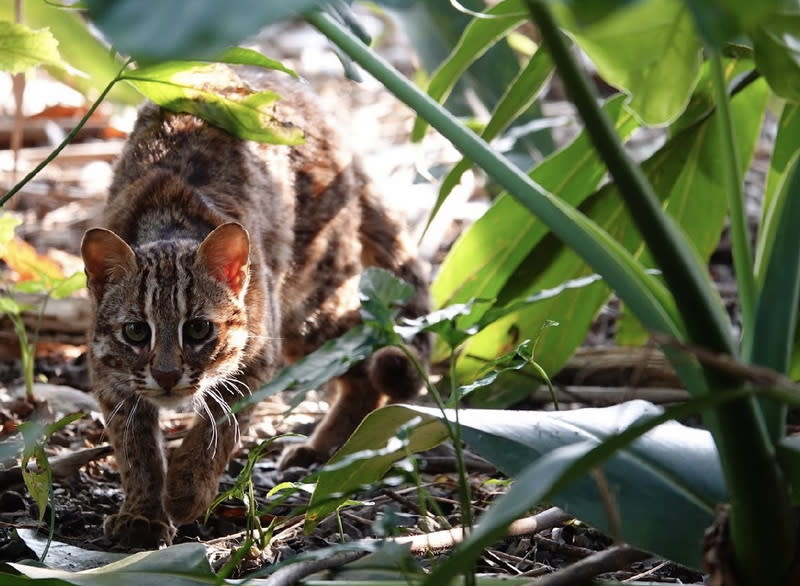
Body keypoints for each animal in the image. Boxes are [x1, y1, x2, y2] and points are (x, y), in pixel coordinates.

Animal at [79, 66, 432, 548]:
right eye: (136, 331)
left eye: (198, 329)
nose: (167, 377)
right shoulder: (109, 374)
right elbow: (135, 448)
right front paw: (143, 514)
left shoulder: (257, 358)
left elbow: (218, 429)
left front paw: (185, 493)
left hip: (310, 302)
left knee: (364, 353)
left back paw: (333, 448)